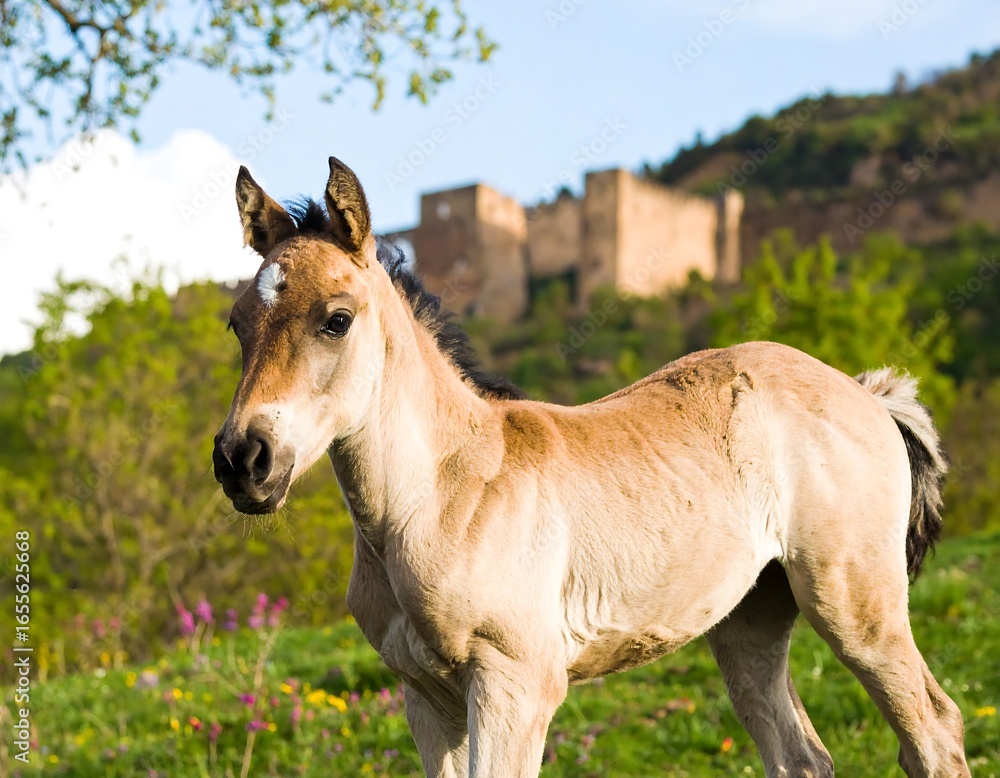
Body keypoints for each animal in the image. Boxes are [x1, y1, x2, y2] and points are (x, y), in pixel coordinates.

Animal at [212, 157, 969, 778]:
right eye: (237, 324)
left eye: (336, 319)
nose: (242, 460)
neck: (441, 497)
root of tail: (867, 393)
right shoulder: (424, 696)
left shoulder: (516, 685)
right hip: (751, 617)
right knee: (801, 756)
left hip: (856, 604)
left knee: (934, 730)